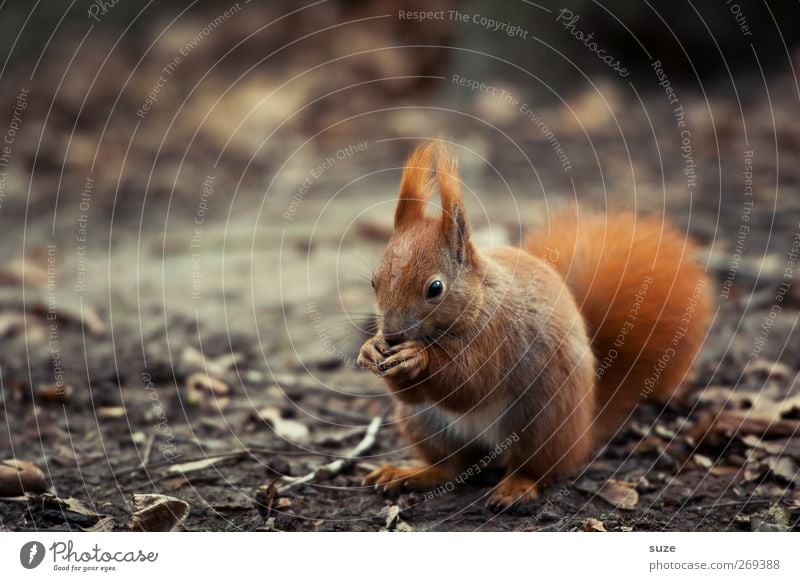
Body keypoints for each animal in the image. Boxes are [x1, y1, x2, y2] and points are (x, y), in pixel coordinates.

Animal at [356, 142, 712, 508]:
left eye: (435, 288)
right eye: (374, 282)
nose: (393, 335)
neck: (479, 299)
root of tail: (583, 430)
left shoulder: (499, 333)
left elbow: (470, 381)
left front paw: (418, 357)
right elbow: (414, 392)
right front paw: (370, 350)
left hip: (540, 419)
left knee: (535, 466)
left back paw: (515, 487)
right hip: (424, 423)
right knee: (453, 465)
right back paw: (411, 473)